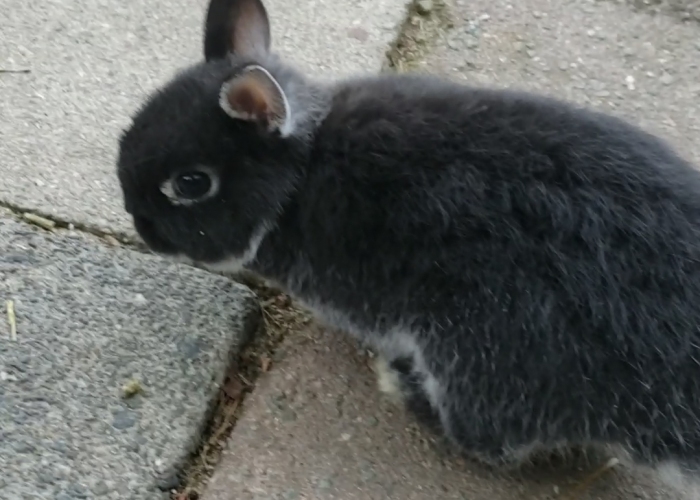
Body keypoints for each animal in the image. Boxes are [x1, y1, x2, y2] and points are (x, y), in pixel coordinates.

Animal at [117, 0, 700, 494]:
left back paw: (399, 384)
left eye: (192, 183)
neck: (301, 173)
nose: (142, 229)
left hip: (478, 349)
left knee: (492, 438)